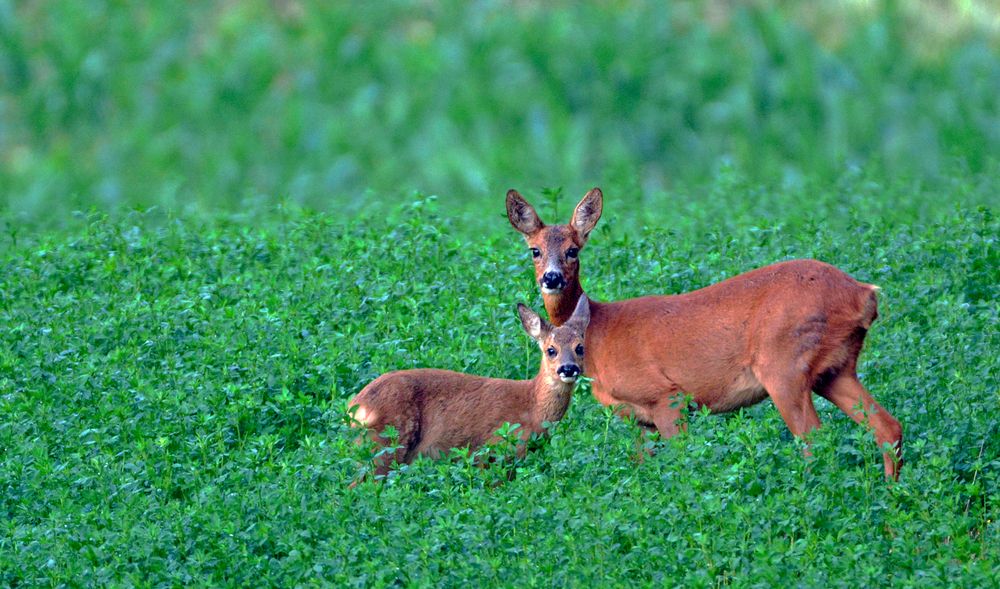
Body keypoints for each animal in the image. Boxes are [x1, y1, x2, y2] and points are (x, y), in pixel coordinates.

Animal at [350, 296, 588, 480]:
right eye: (551, 349)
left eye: (580, 347)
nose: (568, 368)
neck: (532, 408)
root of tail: (355, 406)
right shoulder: (493, 449)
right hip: (386, 442)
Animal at [504, 188, 904, 478]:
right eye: (534, 251)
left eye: (574, 250)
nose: (551, 278)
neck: (599, 332)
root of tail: (864, 294)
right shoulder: (638, 418)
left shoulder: (667, 396)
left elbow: (684, 462)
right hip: (835, 369)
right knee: (888, 428)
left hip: (784, 366)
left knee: (815, 439)